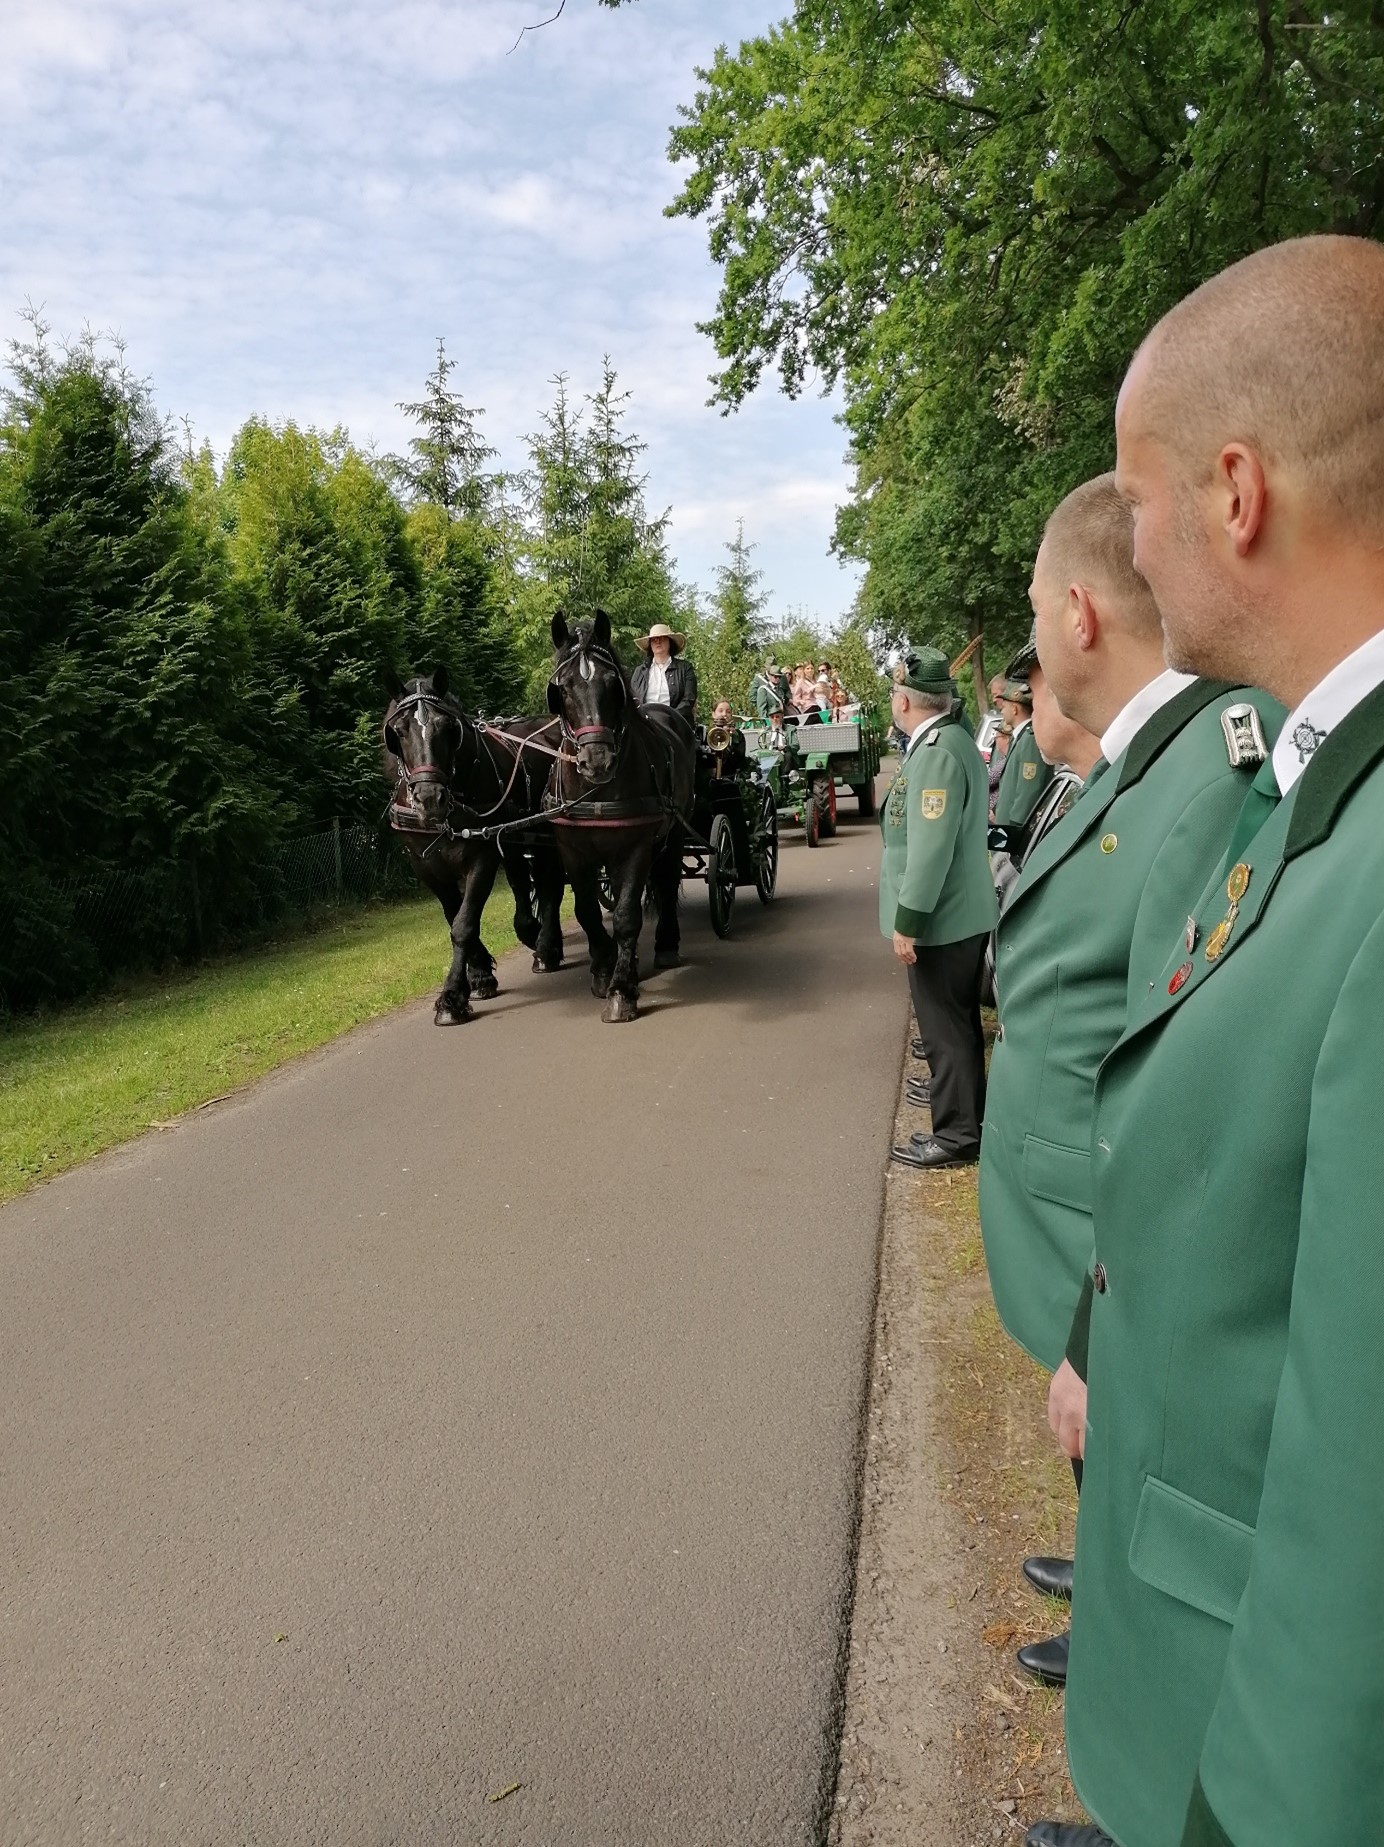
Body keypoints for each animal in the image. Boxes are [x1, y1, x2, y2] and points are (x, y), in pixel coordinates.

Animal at [380, 668, 565, 1026]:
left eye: (448, 728)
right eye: (398, 731)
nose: (429, 798)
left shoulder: (481, 856)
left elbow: (464, 925)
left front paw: (451, 998)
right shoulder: (426, 867)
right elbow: (455, 916)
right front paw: (479, 976)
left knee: (551, 887)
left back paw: (546, 947)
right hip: (515, 838)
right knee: (523, 882)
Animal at [539, 616, 691, 1026]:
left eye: (612, 684)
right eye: (562, 688)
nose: (597, 762)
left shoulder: (635, 847)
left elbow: (625, 916)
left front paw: (621, 991)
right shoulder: (573, 851)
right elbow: (588, 911)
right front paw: (604, 970)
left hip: (672, 835)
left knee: (666, 882)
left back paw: (666, 944)